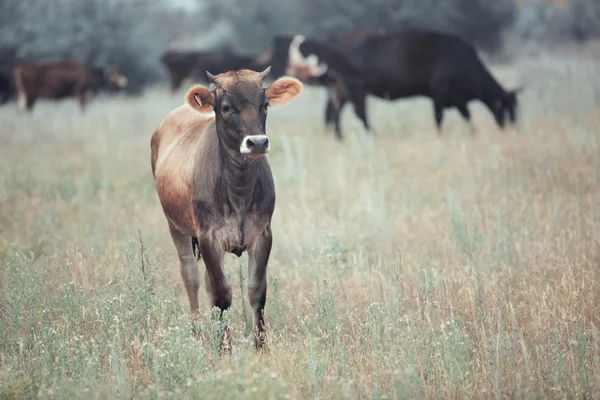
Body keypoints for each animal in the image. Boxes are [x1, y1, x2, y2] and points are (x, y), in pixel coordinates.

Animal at [150, 66, 300, 350]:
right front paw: (224, 349)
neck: (238, 190)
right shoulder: (208, 237)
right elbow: (221, 294)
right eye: (227, 107)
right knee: (191, 276)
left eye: (265, 104)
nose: (257, 143)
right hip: (174, 225)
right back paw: (197, 333)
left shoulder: (263, 234)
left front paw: (260, 346)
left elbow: (256, 290)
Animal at [270, 29, 520, 140]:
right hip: (354, 87)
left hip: (340, 89)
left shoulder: (455, 98)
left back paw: (340, 138)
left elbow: (467, 115)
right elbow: (441, 117)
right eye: (507, 109)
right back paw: (372, 135)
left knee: (334, 113)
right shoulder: (441, 91)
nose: (511, 129)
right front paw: (441, 137)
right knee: (359, 114)